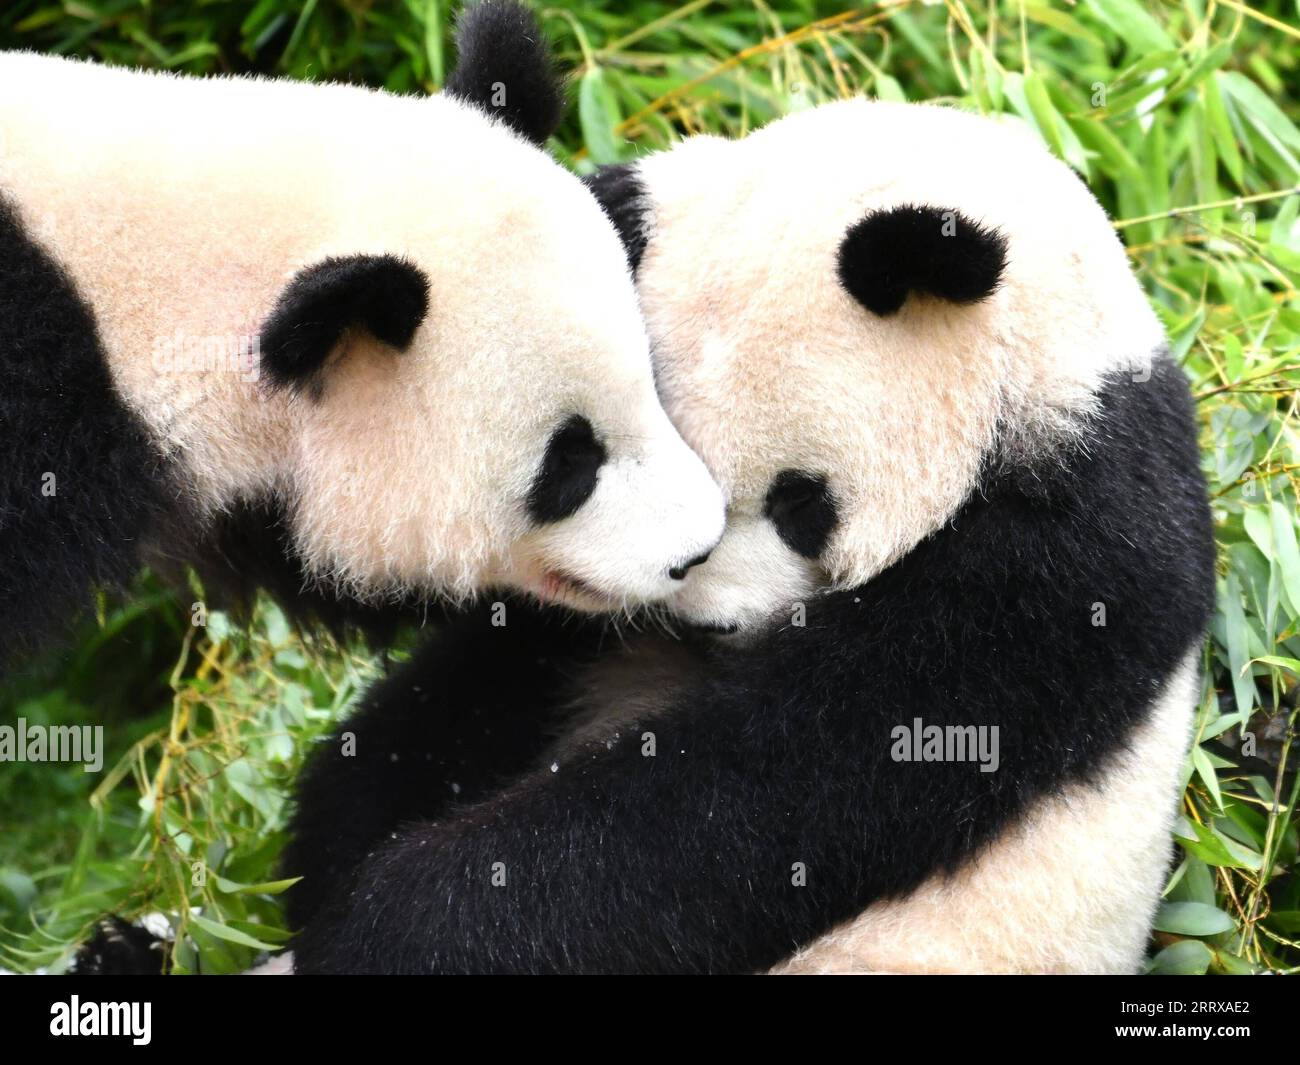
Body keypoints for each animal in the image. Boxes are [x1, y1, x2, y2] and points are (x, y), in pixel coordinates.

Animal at [279, 100, 1211, 972]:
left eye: (801, 502)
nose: (710, 622)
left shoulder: (1061, 563)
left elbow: (782, 783)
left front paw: (408, 917)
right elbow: (478, 681)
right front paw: (340, 844)